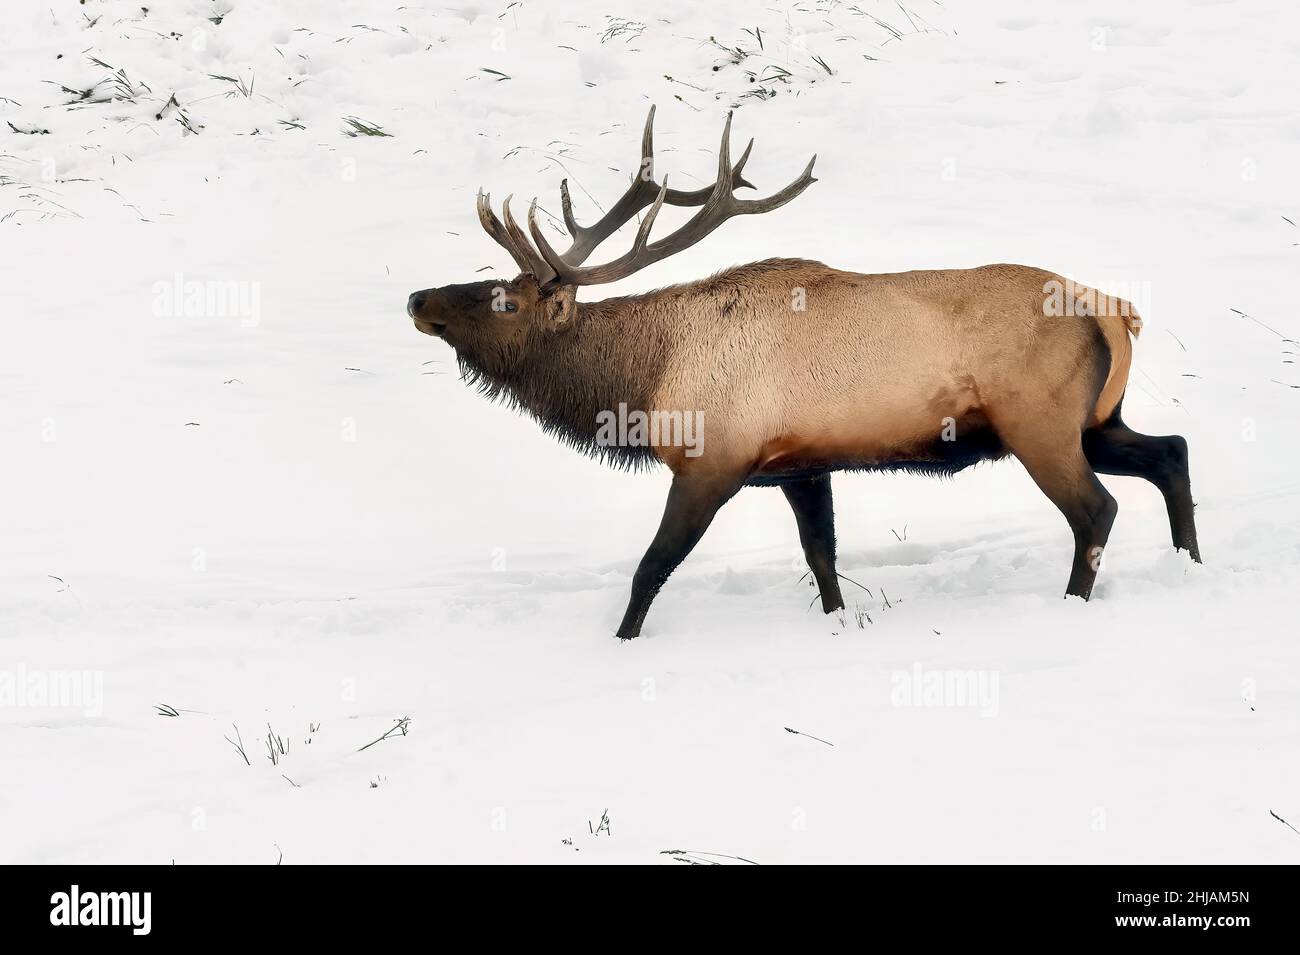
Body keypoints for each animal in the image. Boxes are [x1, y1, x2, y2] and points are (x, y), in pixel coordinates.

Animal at [405, 106, 1196, 641]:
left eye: (503, 298)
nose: (417, 298)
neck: (645, 381)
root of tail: (1117, 313)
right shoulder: (801, 466)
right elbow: (823, 560)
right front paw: (838, 623)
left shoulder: (712, 460)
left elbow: (650, 566)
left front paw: (622, 640)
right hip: (1095, 420)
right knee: (1171, 451)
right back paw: (1190, 564)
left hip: (1041, 424)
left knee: (1096, 508)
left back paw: (1074, 602)